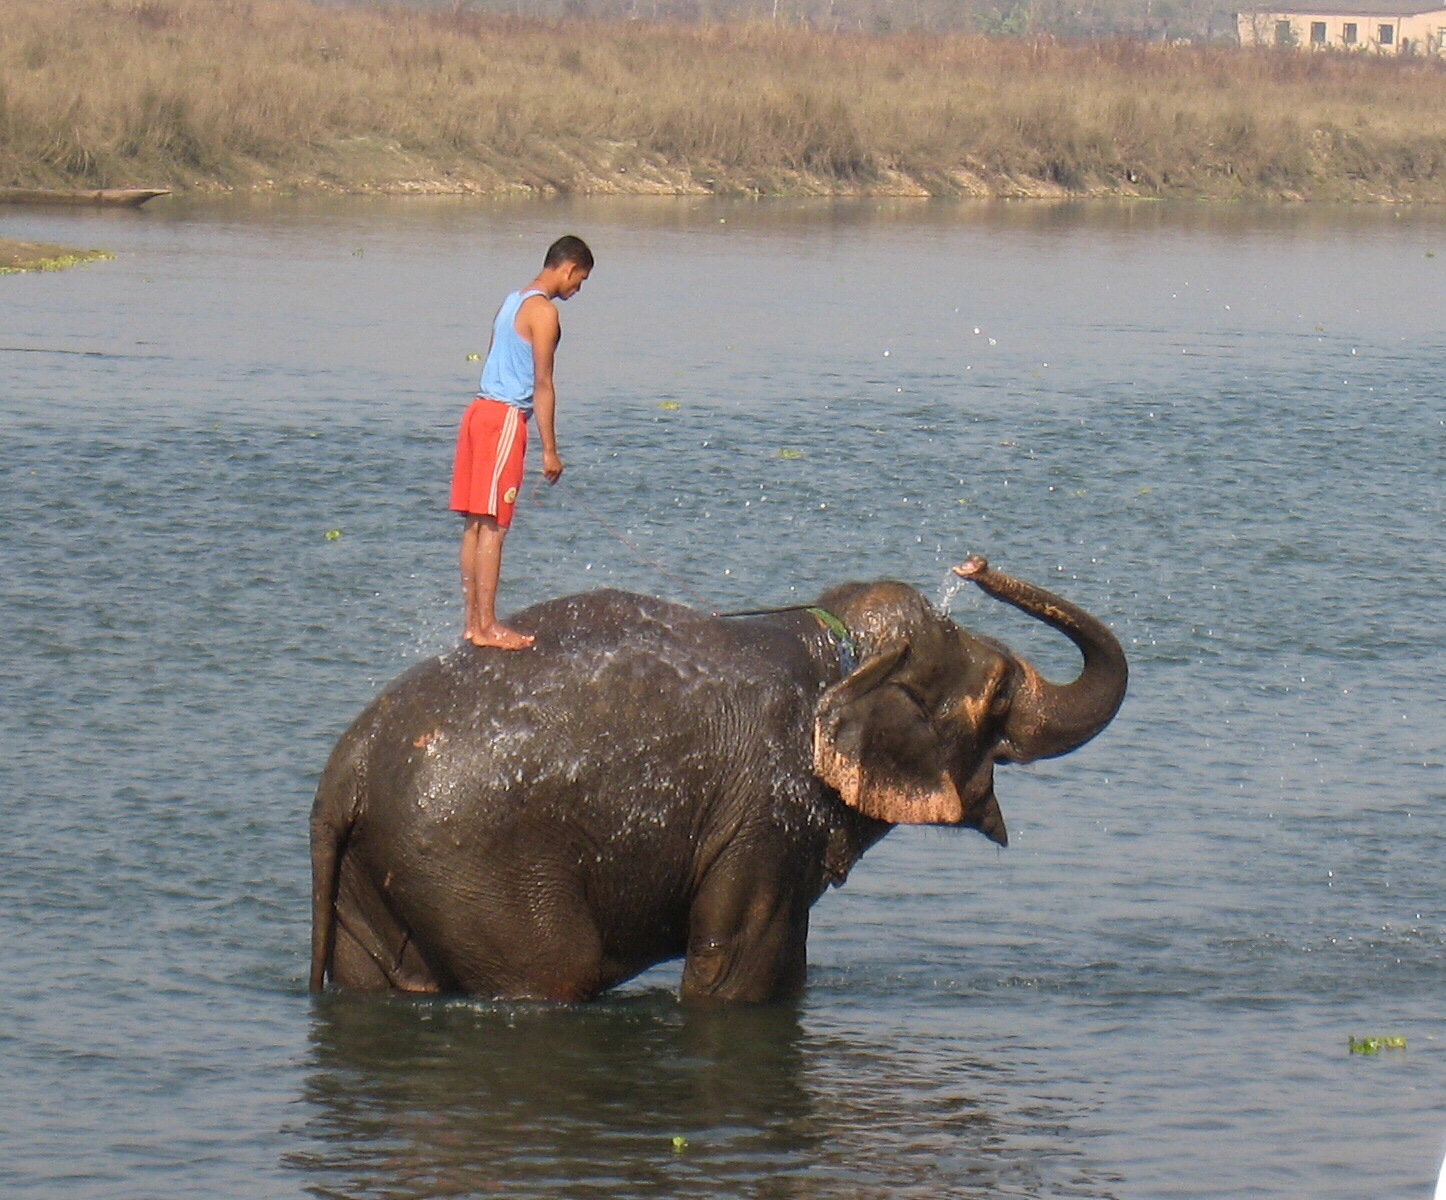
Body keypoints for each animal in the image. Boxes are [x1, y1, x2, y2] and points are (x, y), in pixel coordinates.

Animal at [310, 558, 1127, 1006]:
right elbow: (735, 973)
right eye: (998, 691)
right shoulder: (763, 810)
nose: (973, 567)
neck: (834, 646)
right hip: (473, 870)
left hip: (382, 877)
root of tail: (345, 773)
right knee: (554, 974)